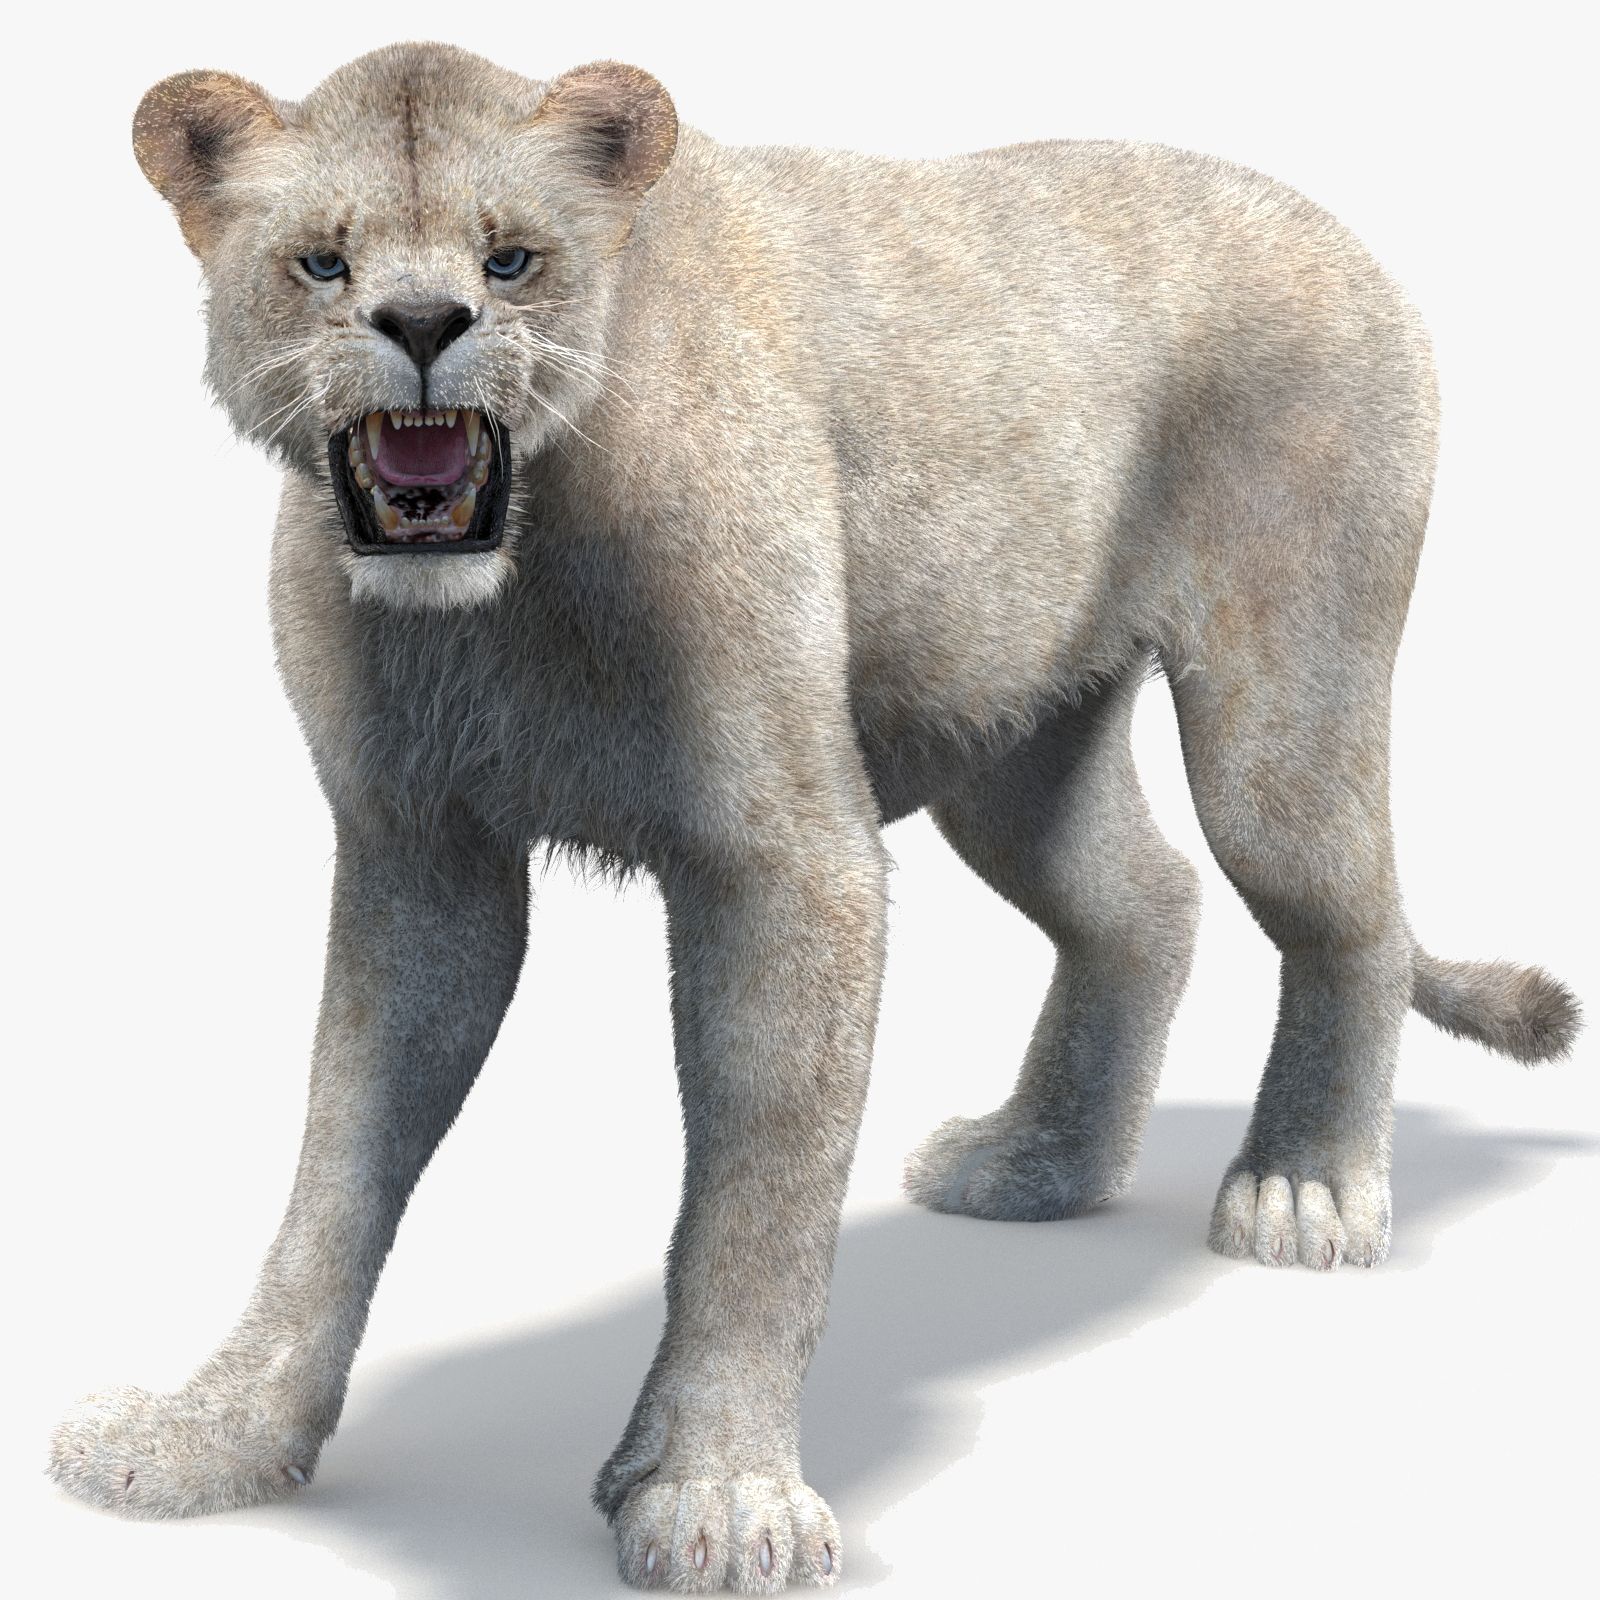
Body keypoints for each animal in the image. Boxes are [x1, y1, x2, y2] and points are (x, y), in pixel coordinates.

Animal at [48, 41, 1579, 1594]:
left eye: (511, 257)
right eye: (322, 261)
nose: (424, 324)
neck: (509, 586)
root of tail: (1340, 232)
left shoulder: (784, 859)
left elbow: (757, 1187)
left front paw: (719, 1496)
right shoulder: (420, 853)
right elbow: (339, 1153)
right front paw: (210, 1437)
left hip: (1278, 709)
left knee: (1348, 914)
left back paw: (1303, 1189)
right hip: (1005, 744)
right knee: (1146, 899)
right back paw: (1037, 1165)